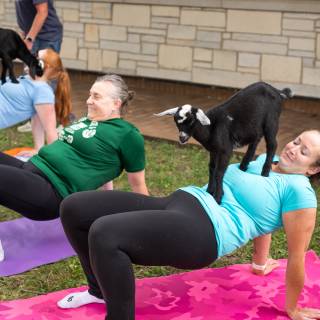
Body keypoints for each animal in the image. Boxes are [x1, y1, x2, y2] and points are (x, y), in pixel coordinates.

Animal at [156, 81, 294, 204]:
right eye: (176, 121)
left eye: (191, 120)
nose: (182, 138)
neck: (211, 128)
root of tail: (278, 91)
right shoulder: (213, 150)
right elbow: (212, 168)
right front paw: (209, 191)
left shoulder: (225, 150)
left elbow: (219, 172)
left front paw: (218, 197)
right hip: (256, 125)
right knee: (255, 140)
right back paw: (243, 166)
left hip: (271, 121)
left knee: (272, 144)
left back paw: (265, 173)